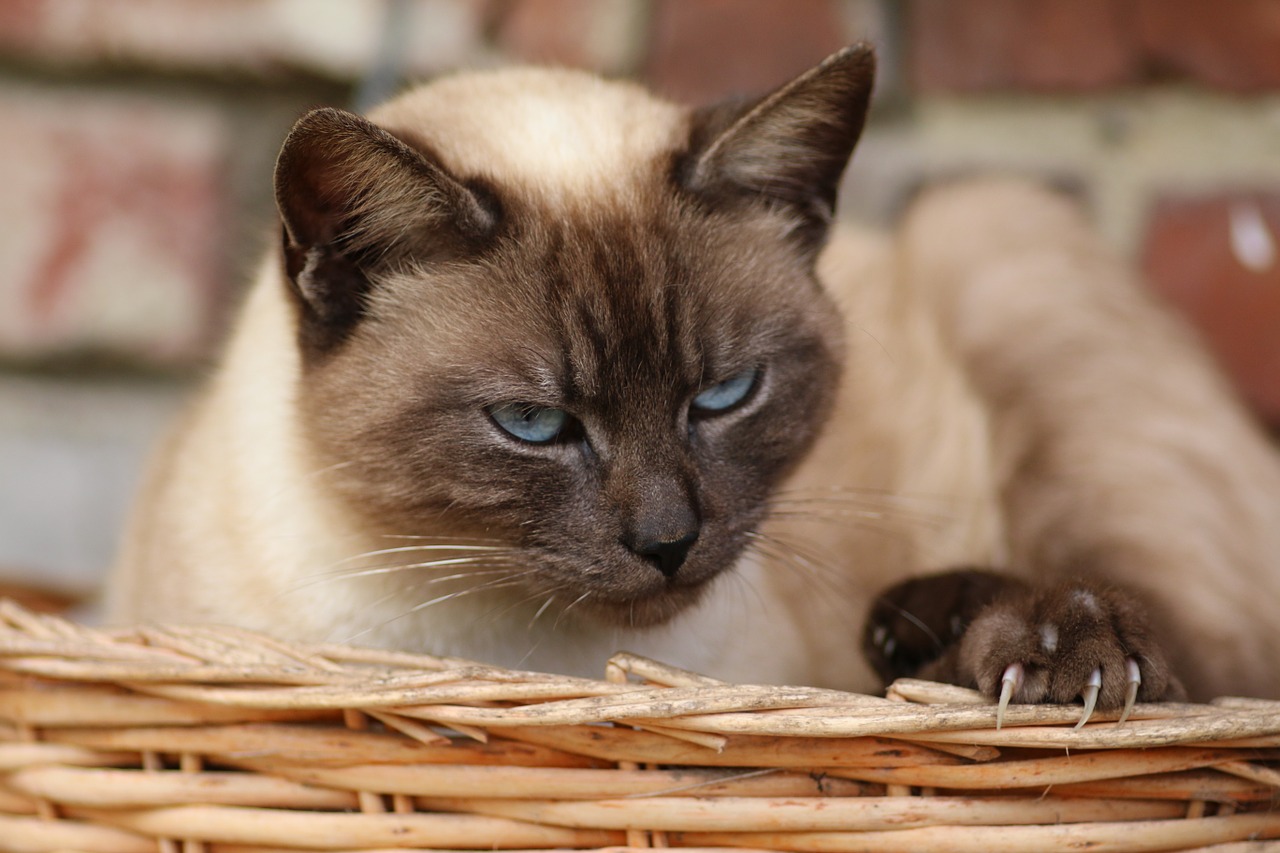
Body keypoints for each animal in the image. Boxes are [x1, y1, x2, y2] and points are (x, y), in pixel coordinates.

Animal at [104, 43, 1280, 712]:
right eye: (531, 422)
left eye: (722, 395)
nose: (667, 542)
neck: (531, 665)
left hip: (998, 243)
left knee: (1198, 665)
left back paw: (1038, 653)